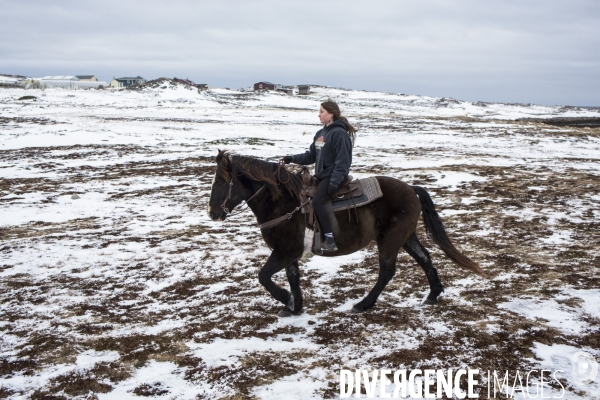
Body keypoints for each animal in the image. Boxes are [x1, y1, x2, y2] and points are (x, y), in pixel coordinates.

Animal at [209, 150, 486, 316]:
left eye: (221, 182)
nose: (212, 213)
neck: (283, 203)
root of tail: (411, 188)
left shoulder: (284, 251)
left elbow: (264, 276)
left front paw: (286, 299)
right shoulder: (288, 253)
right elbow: (292, 277)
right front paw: (294, 307)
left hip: (390, 240)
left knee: (387, 271)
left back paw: (363, 304)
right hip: (406, 237)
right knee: (425, 258)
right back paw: (433, 294)